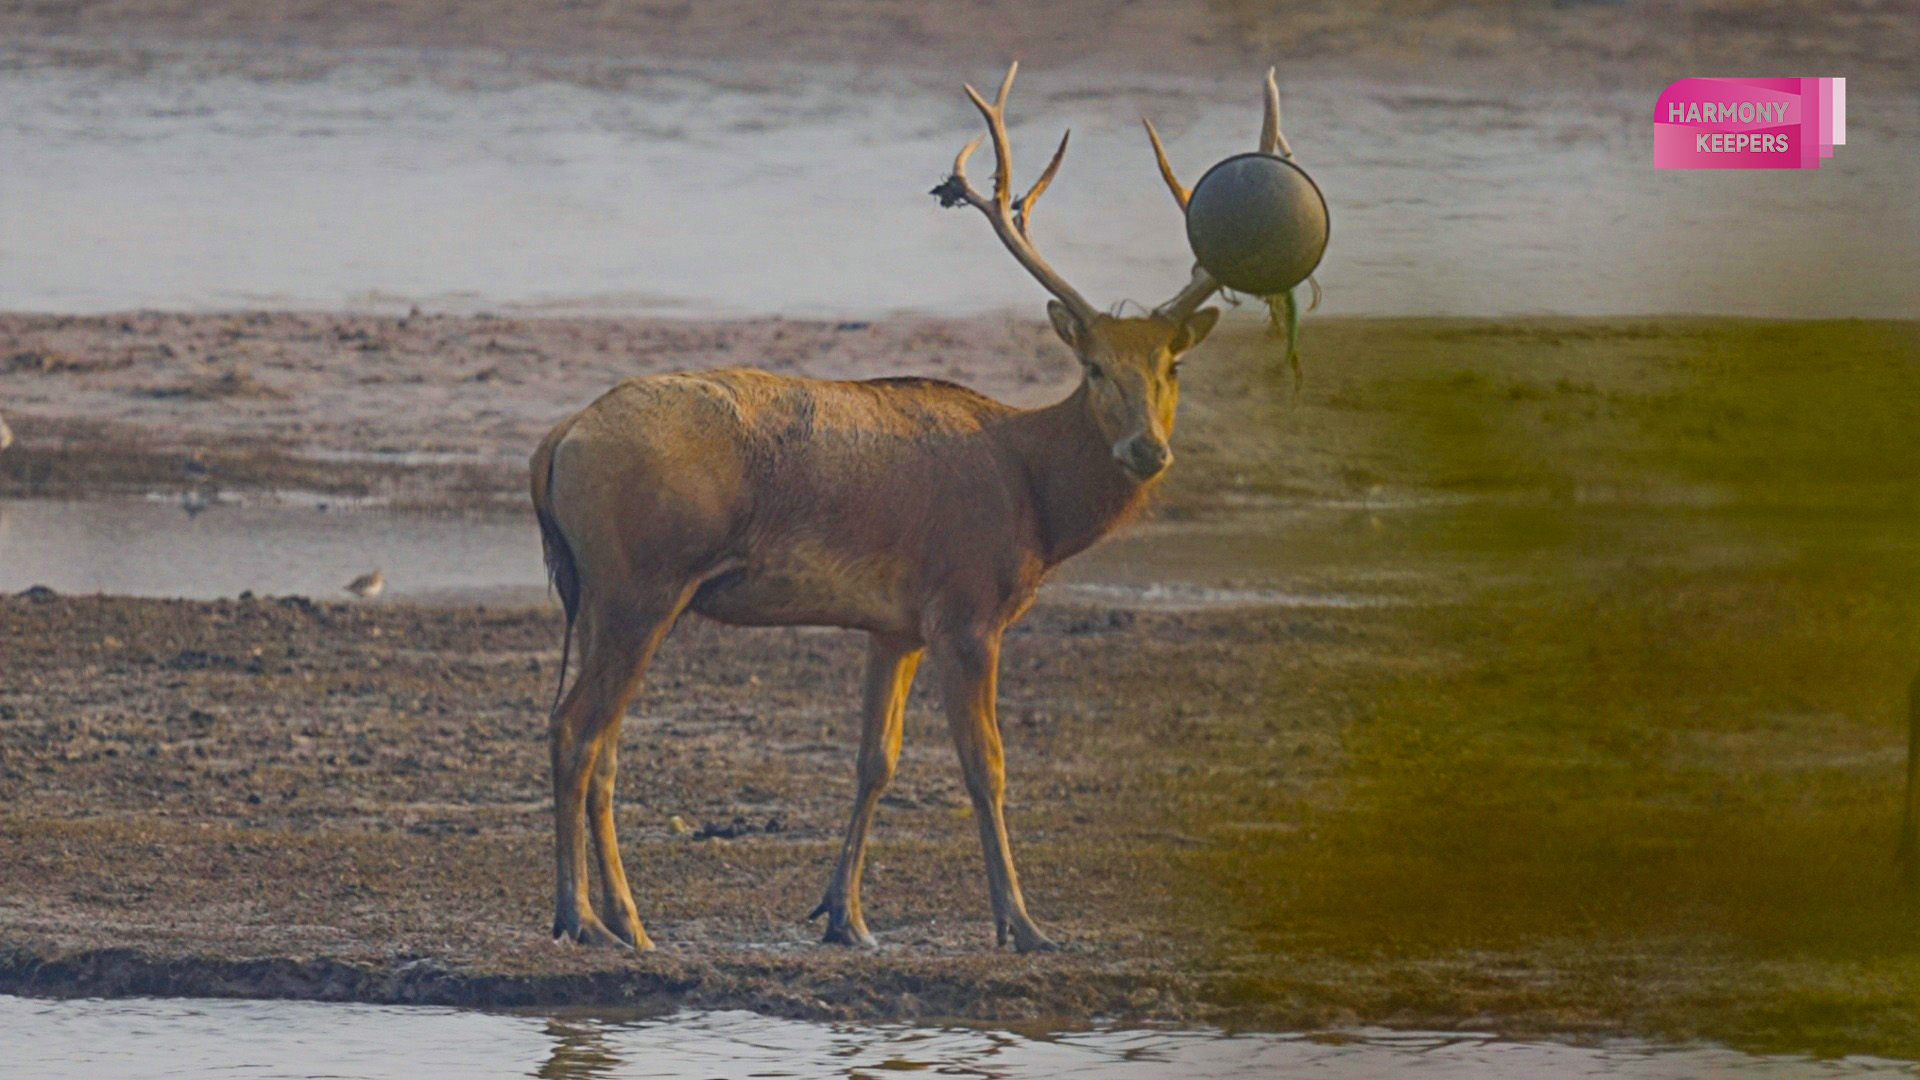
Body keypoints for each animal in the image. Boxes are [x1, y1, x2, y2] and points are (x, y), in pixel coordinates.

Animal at [533, 61, 1297, 949]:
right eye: (1096, 367)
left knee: (603, 740)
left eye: (1171, 368)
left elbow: (877, 759)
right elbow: (985, 764)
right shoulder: (965, 605)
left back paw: (624, 919)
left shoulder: (893, 623)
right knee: (576, 728)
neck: (1034, 496)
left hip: (599, 593)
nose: (1148, 451)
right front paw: (1022, 924)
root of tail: (559, 438)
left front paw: (845, 916)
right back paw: (585, 916)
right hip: (642, 583)